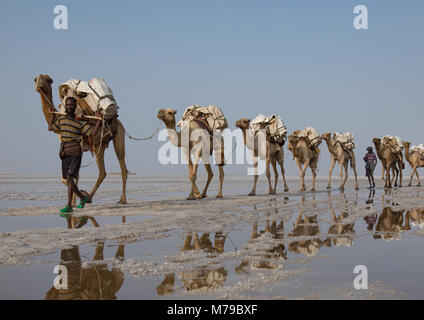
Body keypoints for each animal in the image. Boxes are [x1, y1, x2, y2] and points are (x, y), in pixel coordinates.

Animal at [34, 74, 128, 205]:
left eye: (48, 80)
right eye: (35, 79)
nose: (38, 84)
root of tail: (116, 120)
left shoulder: (80, 142)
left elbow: (72, 176)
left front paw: (79, 196)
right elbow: (74, 175)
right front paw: (74, 201)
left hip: (117, 135)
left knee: (119, 165)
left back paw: (119, 199)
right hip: (100, 144)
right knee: (106, 171)